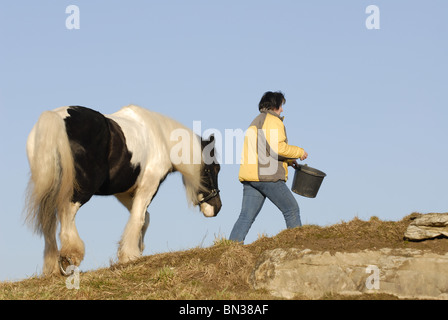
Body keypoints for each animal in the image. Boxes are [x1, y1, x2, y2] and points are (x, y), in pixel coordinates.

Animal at [25, 105, 221, 276]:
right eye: (212, 168)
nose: (216, 207)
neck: (161, 138)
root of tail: (56, 118)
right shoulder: (148, 185)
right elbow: (139, 217)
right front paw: (130, 254)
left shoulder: (124, 192)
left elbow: (143, 217)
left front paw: (135, 249)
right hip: (80, 189)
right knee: (66, 213)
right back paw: (70, 256)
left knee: (48, 221)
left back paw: (52, 266)